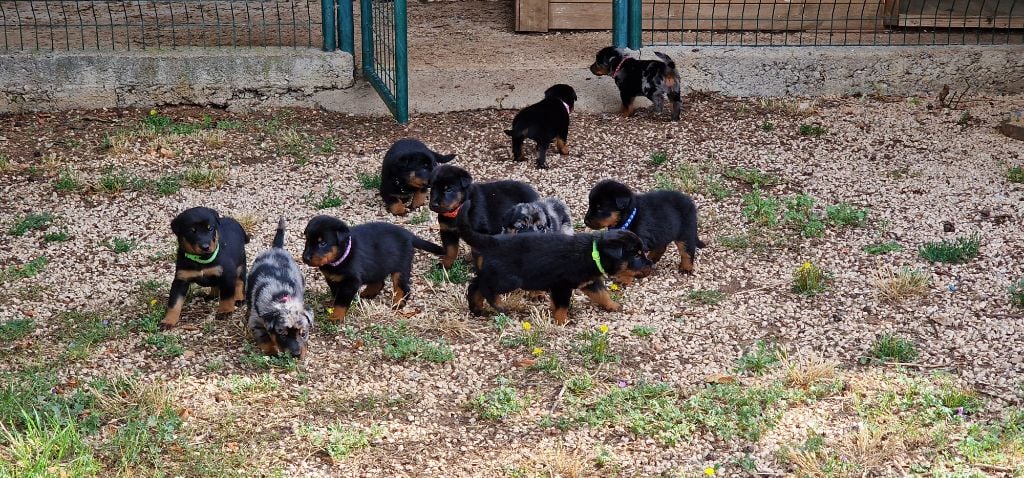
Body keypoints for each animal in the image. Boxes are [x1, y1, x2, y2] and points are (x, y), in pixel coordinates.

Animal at [245, 219, 313, 358]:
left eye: (303, 333)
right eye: (282, 334)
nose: (296, 355)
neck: (282, 298)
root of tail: (276, 248)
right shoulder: (255, 322)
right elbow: (265, 338)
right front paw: (272, 351)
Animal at [299, 215, 444, 321]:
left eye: (322, 243)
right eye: (307, 240)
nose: (305, 258)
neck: (342, 256)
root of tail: (410, 235)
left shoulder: (351, 281)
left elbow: (341, 301)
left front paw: (336, 316)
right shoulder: (332, 278)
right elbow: (336, 294)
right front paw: (332, 306)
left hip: (400, 267)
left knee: (403, 288)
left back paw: (398, 303)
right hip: (378, 264)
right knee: (380, 282)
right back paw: (368, 293)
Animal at [460, 200, 651, 327]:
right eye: (636, 255)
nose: (651, 266)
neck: (593, 252)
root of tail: (492, 241)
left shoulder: (590, 282)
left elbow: (602, 294)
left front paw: (613, 306)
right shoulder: (562, 286)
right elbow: (562, 305)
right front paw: (562, 321)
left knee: (475, 284)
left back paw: (476, 307)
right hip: (508, 279)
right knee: (484, 286)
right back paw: (497, 304)